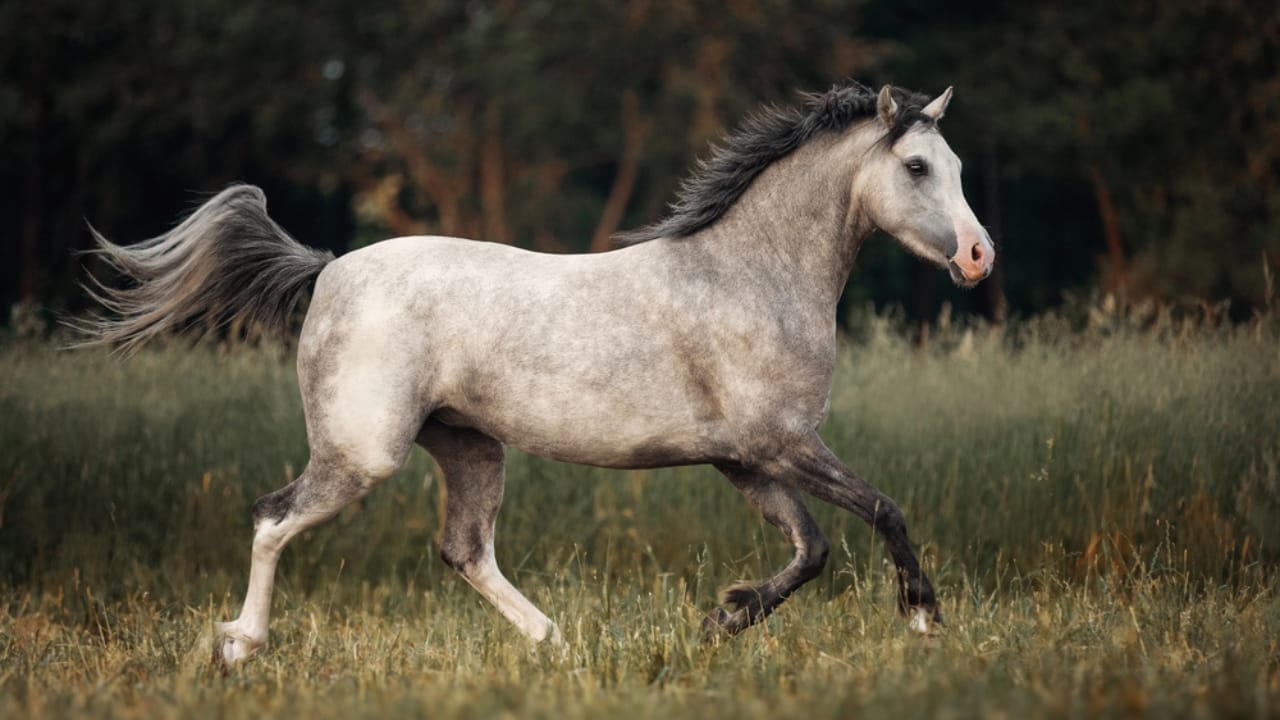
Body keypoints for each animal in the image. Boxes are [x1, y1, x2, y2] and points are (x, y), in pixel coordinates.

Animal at [77, 82, 994, 668]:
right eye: (917, 168)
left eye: (954, 165)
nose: (980, 256)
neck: (749, 276)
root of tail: (329, 269)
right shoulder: (781, 445)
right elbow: (879, 511)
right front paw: (923, 621)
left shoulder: (745, 459)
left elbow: (811, 551)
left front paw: (720, 618)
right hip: (363, 452)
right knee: (274, 518)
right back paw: (239, 646)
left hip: (471, 447)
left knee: (463, 549)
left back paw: (558, 644)